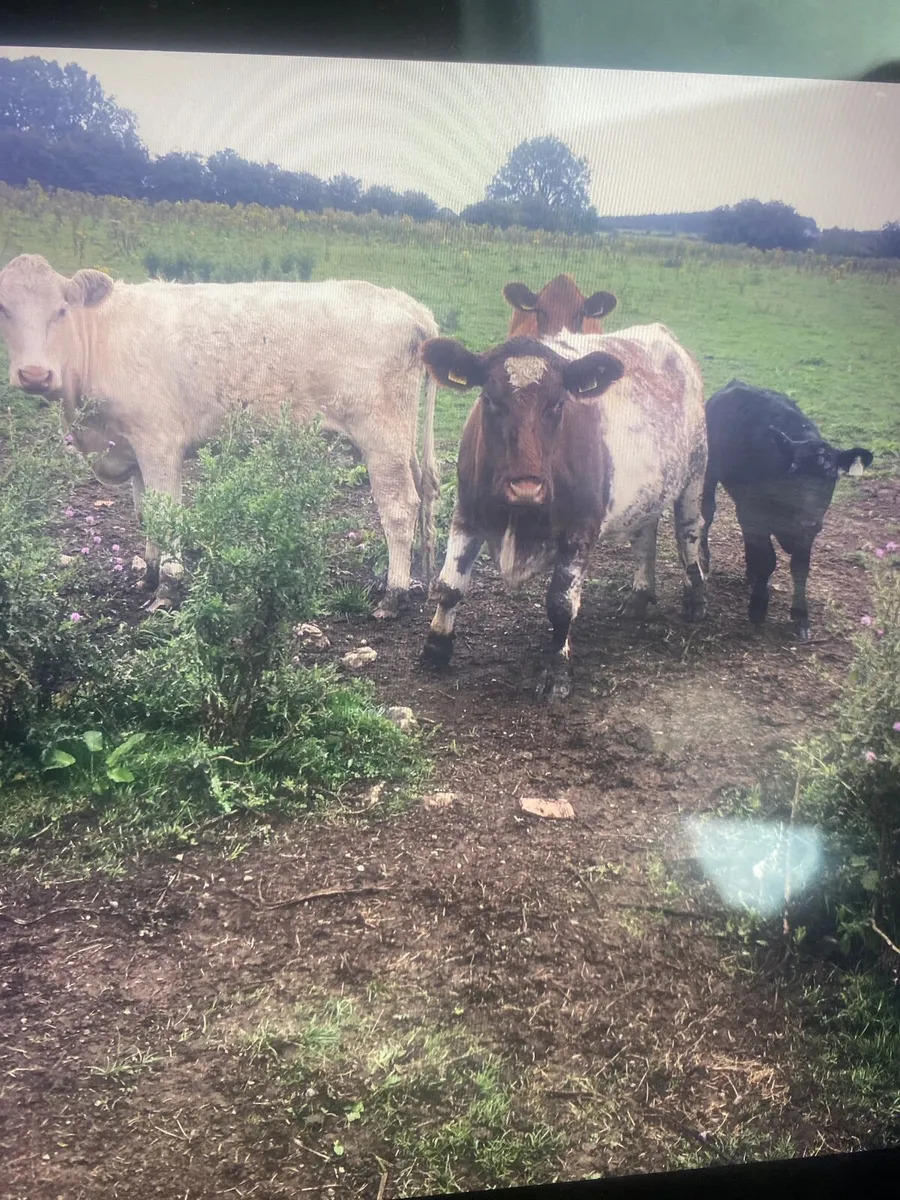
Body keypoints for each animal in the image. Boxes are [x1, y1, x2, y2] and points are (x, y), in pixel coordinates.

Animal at [0, 253, 439, 617]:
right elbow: (147, 515)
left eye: (61, 310)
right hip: (404, 443)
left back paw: (394, 594)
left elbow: (168, 514)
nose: (34, 374)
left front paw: (168, 588)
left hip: (382, 440)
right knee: (425, 492)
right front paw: (149, 575)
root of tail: (407, 305)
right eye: (3, 309)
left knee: (400, 508)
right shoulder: (131, 448)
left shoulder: (159, 443)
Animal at [419, 325, 708, 700]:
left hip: (695, 472)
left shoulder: (580, 530)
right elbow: (449, 585)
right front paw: (435, 648)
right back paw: (639, 596)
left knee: (689, 532)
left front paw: (556, 670)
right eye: (491, 401)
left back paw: (695, 598)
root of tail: (662, 333)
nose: (526, 487)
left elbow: (561, 604)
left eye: (557, 404)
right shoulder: (467, 514)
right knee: (644, 535)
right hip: (648, 490)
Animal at [700, 379, 874, 639]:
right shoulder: (754, 512)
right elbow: (768, 560)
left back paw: (751, 574)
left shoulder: (805, 529)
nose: (809, 521)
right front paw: (758, 608)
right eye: (793, 472)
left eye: (831, 476)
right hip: (710, 471)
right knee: (707, 512)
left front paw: (800, 616)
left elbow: (800, 567)